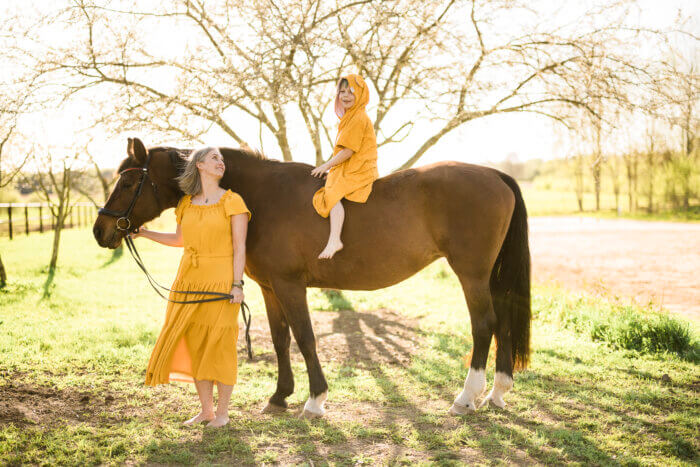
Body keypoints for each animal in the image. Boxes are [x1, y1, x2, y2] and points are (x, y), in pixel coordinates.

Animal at [94, 137, 532, 418]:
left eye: (129, 181)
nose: (102, 231)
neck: (263, 196)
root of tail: (496, 175)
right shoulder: (270, 288)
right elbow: (281, 339)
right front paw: (279, 397)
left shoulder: (290, 286)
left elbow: (305, 338)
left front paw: (314, 400)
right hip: (490, 277)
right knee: (504, 323)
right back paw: (497, 393)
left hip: (470, 274)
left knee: (484, 325)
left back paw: (467, 397)